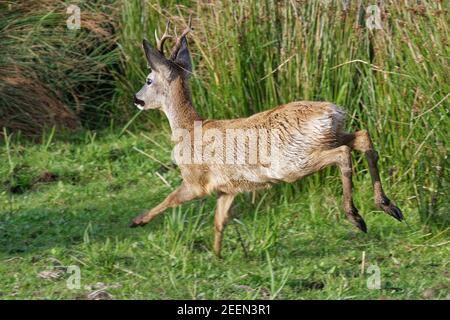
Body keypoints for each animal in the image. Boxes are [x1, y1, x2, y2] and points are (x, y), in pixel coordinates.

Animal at [131, 17, 404, 258]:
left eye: (148, 79)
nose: (136, 99)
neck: (188, 129)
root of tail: (332, 112)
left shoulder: (197, 181)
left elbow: (170, 198)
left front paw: (137, 221)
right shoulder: (228, 188)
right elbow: (219, 221)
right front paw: (218, 256)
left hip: (292, 161)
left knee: (343, 154)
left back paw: (356, 217)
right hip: (330, 137)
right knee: (363, 138)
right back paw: (388, 206)